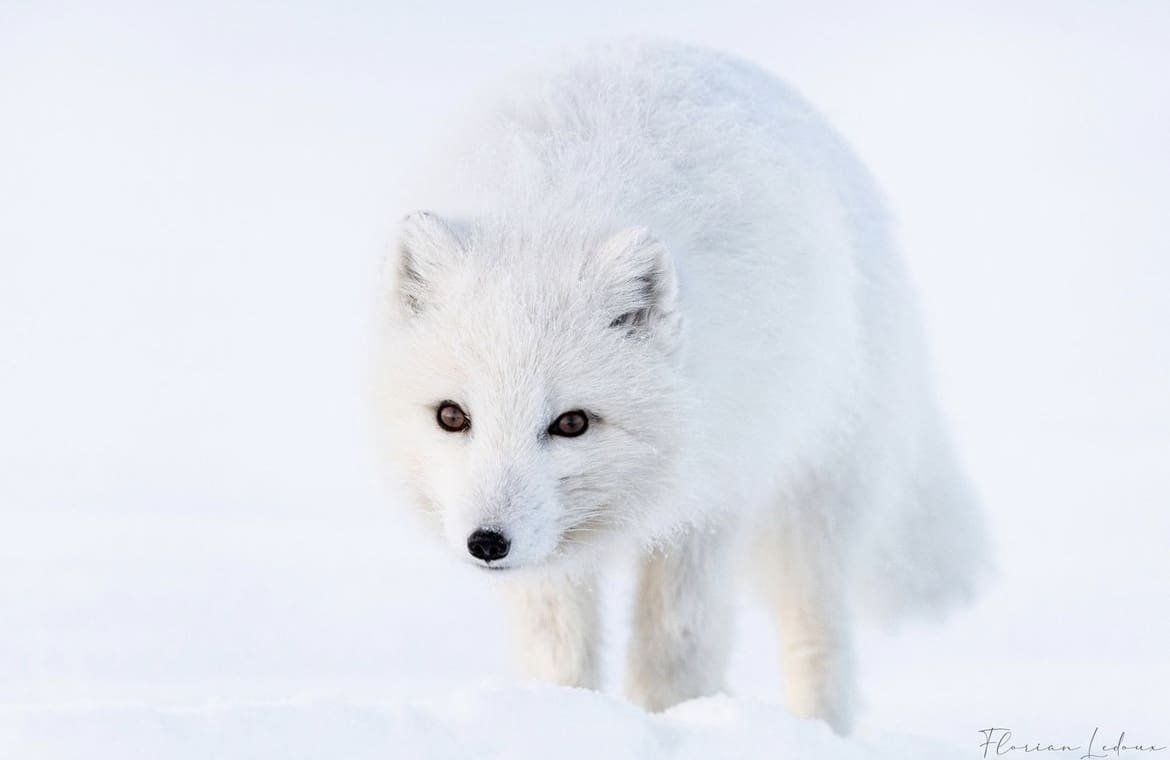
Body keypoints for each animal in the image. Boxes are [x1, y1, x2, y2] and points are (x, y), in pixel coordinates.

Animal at [376, 40, 987, 729]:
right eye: (452, 416)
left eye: (571, 423)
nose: (487, 543)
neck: (556, 204)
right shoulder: (550, 554)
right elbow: (558, 650)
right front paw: (565, 718)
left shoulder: (714, 499)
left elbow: (677, 645)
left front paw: (675, 721)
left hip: (812, 503)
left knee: (816, 637)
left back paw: (817, 731)